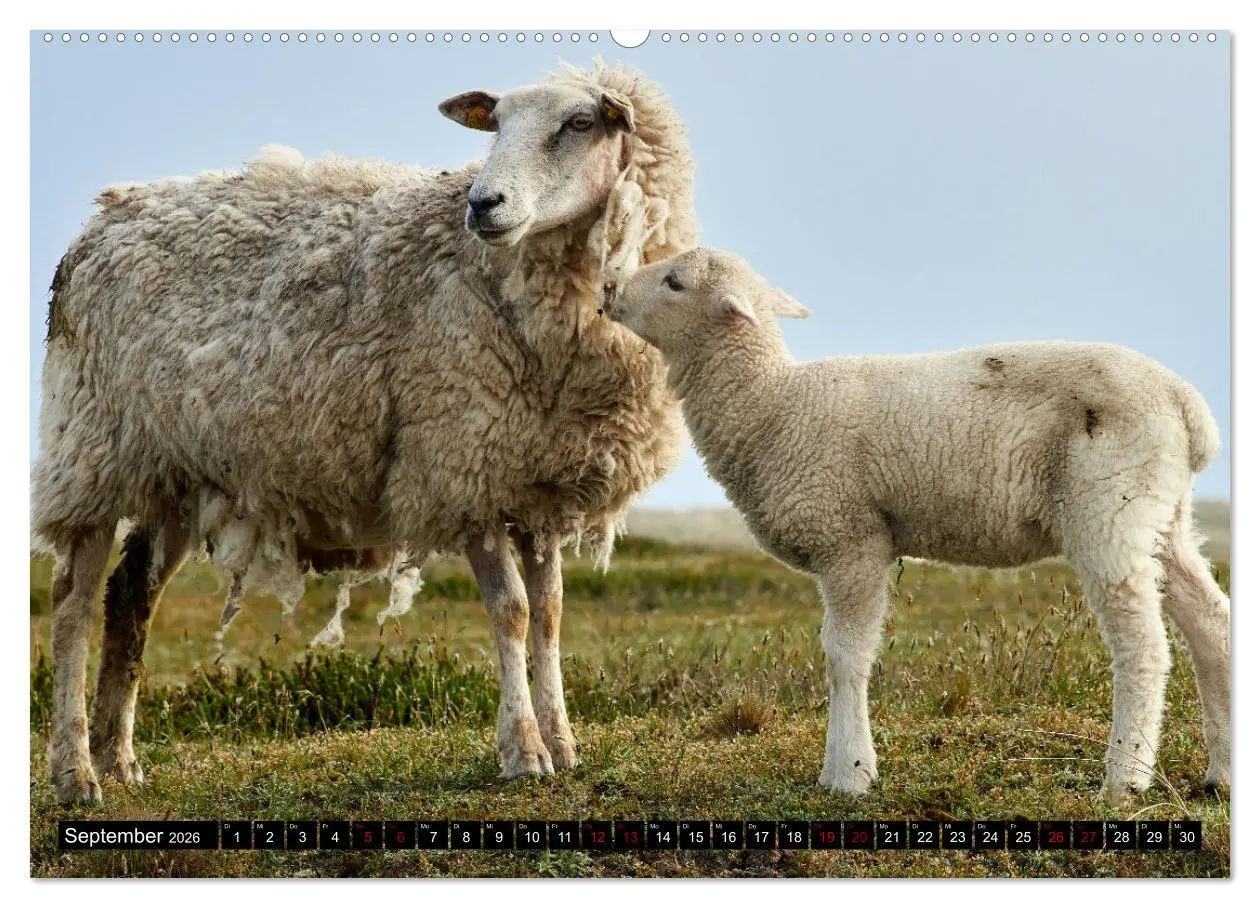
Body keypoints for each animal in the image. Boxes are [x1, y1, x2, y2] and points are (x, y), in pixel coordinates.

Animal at [33, 61, 696, 805]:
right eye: (495, 125)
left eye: (579, 124)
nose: (483, 205)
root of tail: (99, 223)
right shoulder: (456, 465)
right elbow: (512, 612)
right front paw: (523, 751)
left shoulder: (533, 482)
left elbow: (550, 612)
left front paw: (563, 742)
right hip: (90, 449)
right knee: (72, 603)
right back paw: (76, 772)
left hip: (172, 470)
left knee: (130, 599)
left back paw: (119, 761)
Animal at [606, 247, 1230, 805]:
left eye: (676, 282)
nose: (608, 288)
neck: (770, 405)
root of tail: (1186, 406)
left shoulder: (851, 541)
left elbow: (845, 656)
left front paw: (848, 774)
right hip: (1160, 513)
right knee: (1211, 620)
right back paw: (1220, 773)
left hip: (1110, 507)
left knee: (1142, 645)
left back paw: (1124, 779)